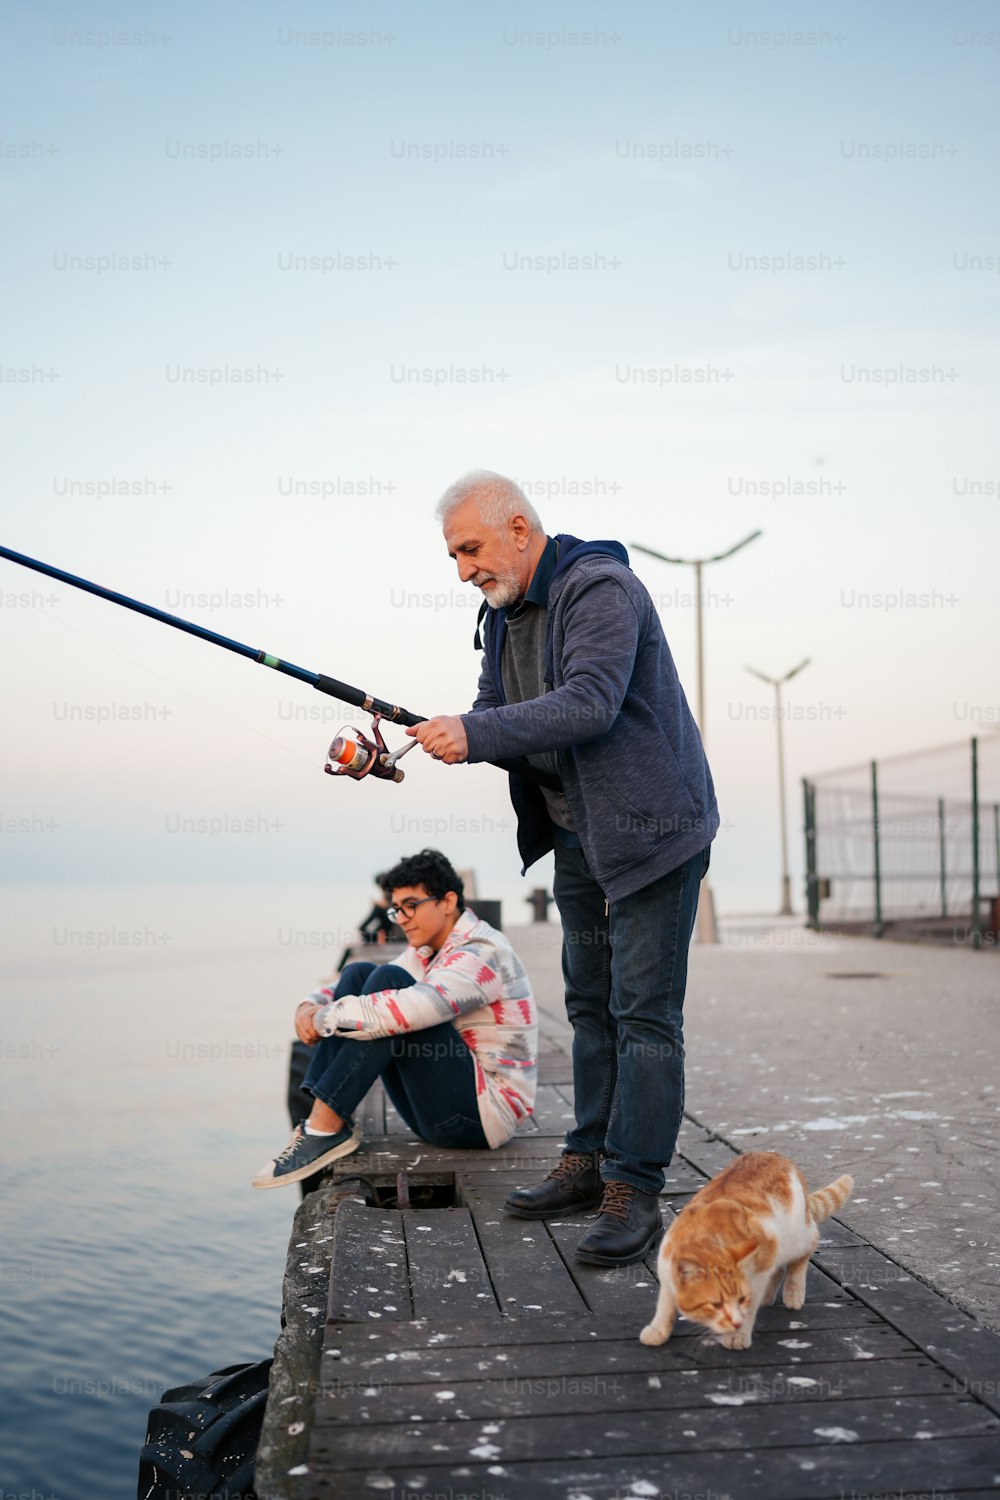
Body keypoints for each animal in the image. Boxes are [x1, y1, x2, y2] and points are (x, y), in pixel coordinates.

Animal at [641, 1152, 851, 1356]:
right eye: (716, 1305)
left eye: (740, 1300)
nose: (735, 1323)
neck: (707, 1238)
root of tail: (781, 1158)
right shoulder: (666, 1269)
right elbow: (665, 1303)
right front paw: (658, 1329)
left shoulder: (762, 1259)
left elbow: (749, 1308)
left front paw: (738, 1335)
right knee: (777, 1268)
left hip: (796, 1236)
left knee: (806, 1248)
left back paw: (793, 1292)